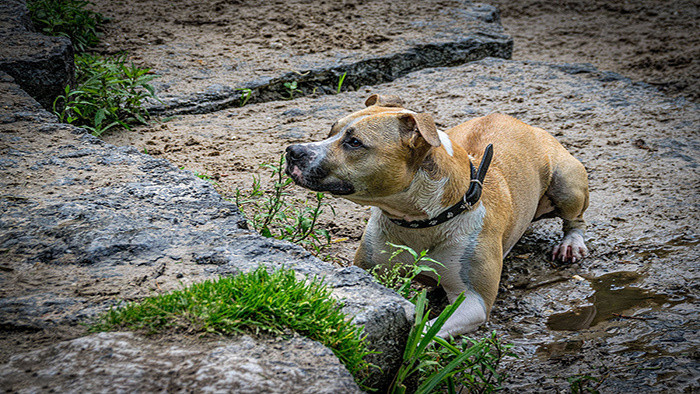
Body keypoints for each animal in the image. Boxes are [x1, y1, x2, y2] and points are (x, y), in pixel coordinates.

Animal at [286, 94, 592, 338]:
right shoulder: (367, 271)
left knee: (576, 219)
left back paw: (571, 245)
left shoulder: (473, 300)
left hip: (566, 181)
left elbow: (428, 330)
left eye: (354, 142)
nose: (292, 151)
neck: (418, 221)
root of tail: (524, 124)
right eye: (331, 130)